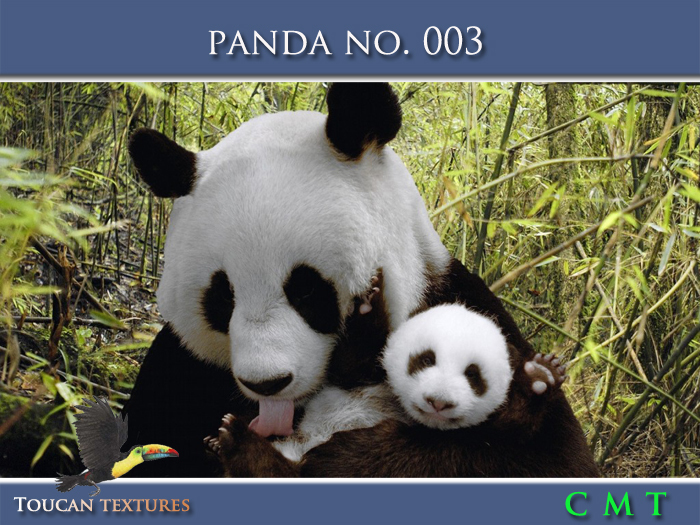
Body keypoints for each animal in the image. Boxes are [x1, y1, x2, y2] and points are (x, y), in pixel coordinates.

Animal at [122, 82, 598, 478]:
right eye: (223, 297)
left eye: (306, 289)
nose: (267, 384)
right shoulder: (180, 369)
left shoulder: (462, 307)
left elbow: (548, 458)